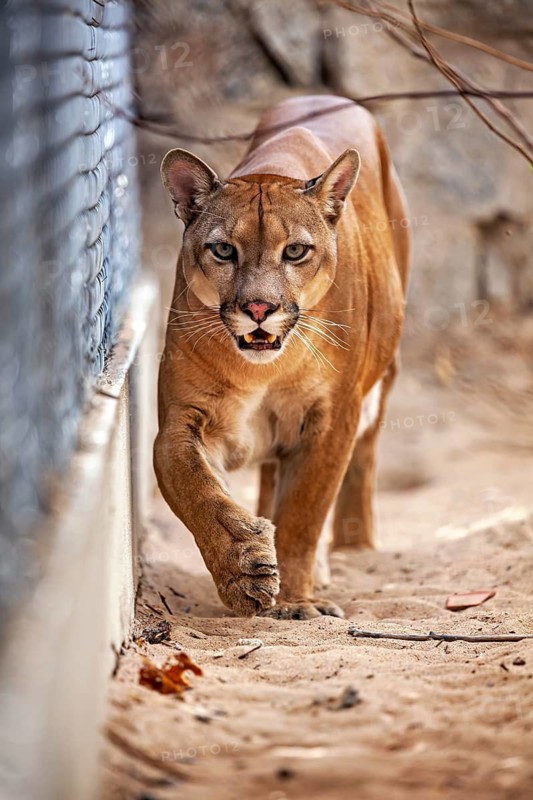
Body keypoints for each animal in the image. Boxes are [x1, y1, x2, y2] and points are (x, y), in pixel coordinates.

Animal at [154, 95, 410, 619]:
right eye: (223, 249)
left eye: (295, 251)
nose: (258, 308)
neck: (265, 369)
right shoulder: (182, 420)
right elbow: (197, 491)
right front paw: (246, 569)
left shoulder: (332, 416)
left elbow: (303, 513)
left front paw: (294, 601)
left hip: (382, 378)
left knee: (364, 457)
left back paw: (352, 547)